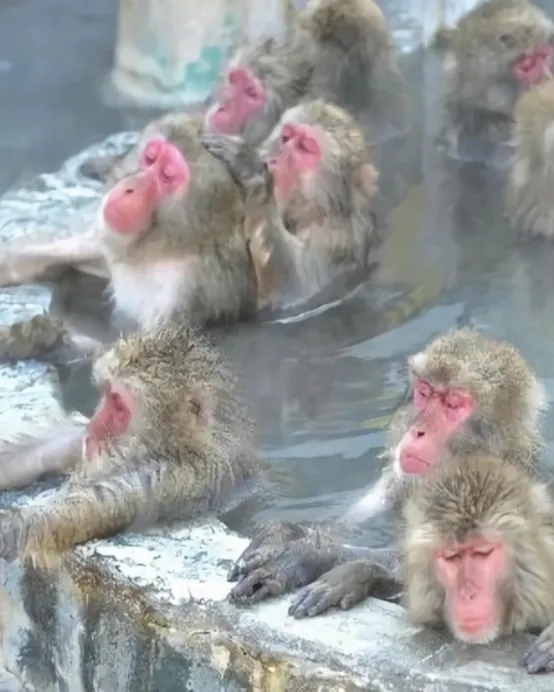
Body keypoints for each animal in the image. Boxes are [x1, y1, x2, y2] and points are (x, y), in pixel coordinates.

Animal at [201, 100, 380, 312]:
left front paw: (251, 170)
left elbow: (295, 290)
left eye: (304, 147)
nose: (274, 160)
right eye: (286, 138)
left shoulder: (333, 239)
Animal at [220, 327, 548, 606]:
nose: (418, 431)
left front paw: (310, 557)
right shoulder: (399, 480)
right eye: (425, 392)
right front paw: (286, 534)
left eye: (453, 404)